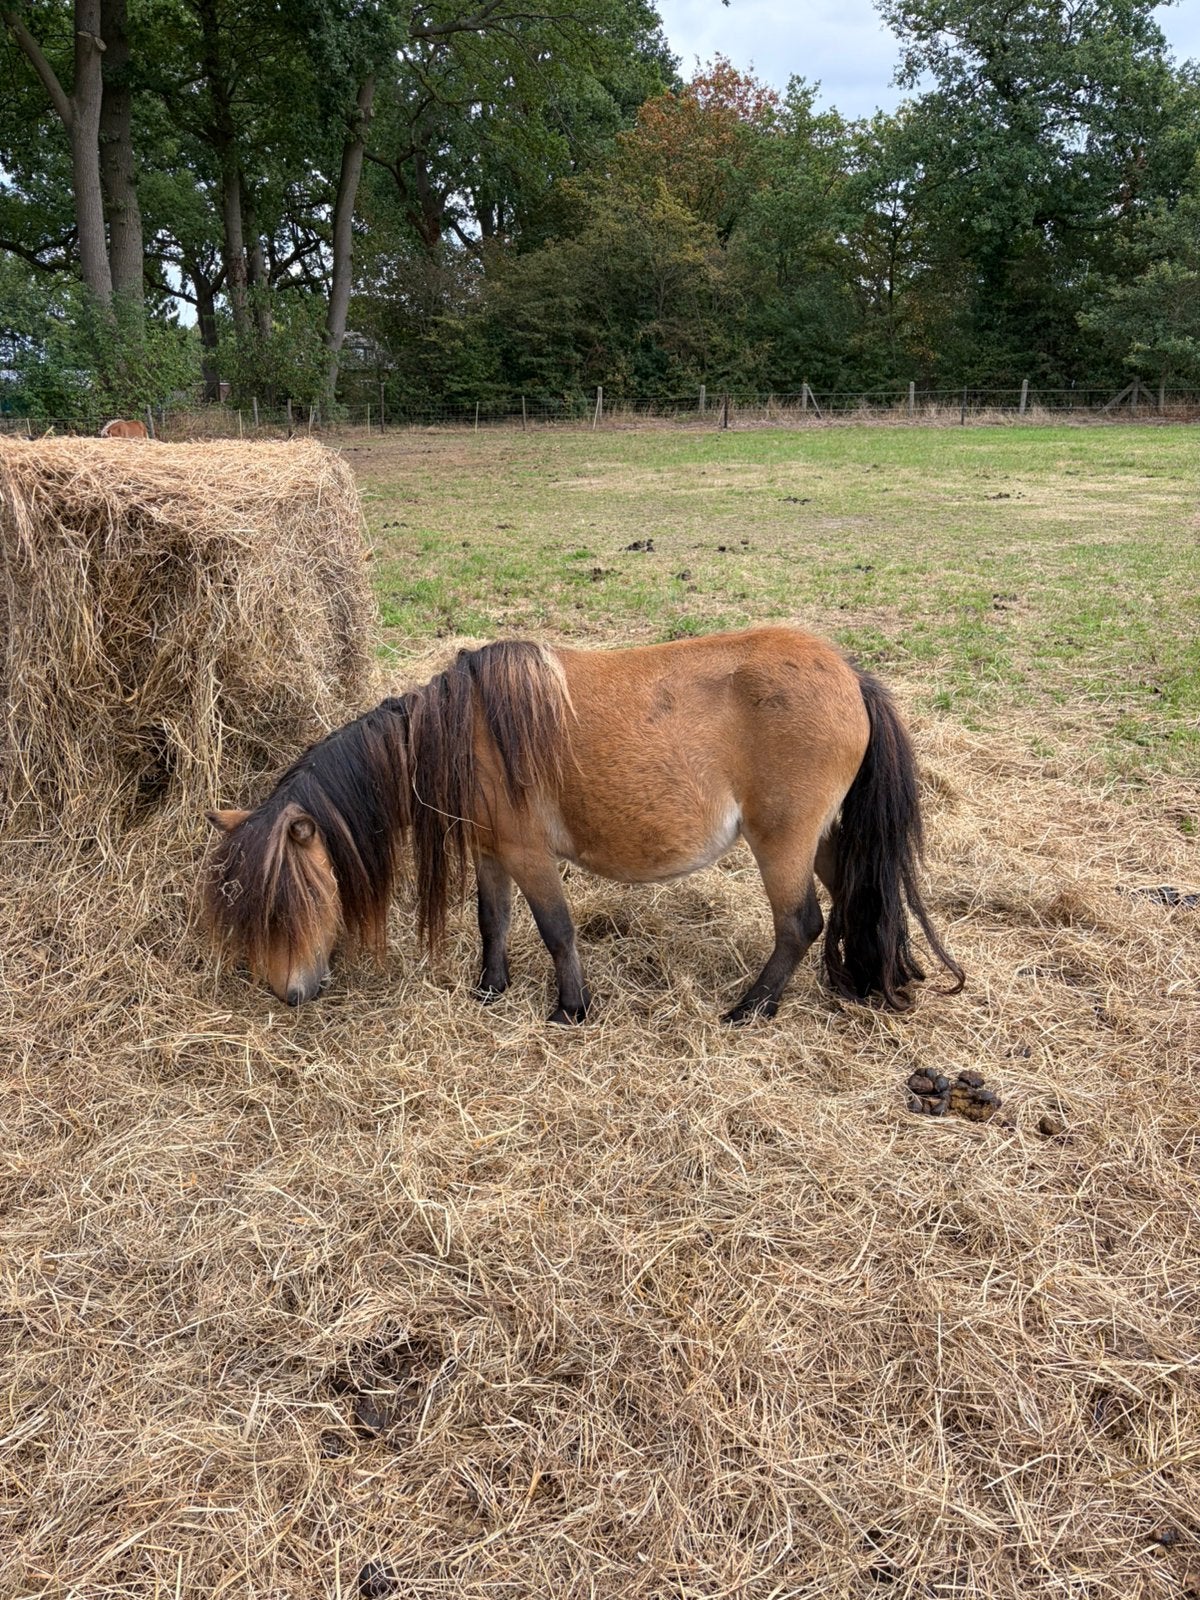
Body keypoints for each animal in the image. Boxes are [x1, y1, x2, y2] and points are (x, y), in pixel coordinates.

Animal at [205, 626, 964, 1024]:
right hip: (828, 841)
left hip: (784, 844)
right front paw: (491, 989)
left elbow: (556, 928)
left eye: (287, 904)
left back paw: (750, 1008)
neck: (465, 733)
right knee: (859, 898)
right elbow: (494, 920)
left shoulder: (529, 853)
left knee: (800, 924)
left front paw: (570, 1007)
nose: (288, 991)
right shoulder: (491, 853)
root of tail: (850, 676)